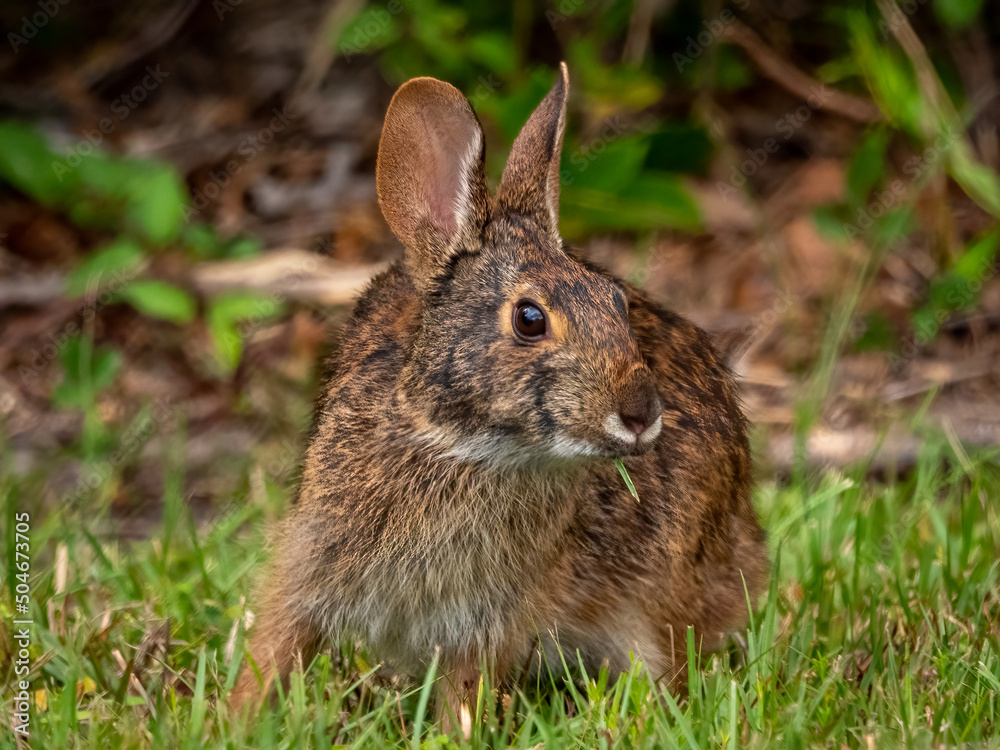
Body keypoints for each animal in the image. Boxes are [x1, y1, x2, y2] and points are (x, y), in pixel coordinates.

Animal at [230, 62, 768, 732]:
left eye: (617, 301)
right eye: (530, 319)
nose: (642, 415)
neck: (459, 444)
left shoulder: (488, 620)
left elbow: (466, 690)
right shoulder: (313, 567)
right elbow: (276, 649)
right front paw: (239, 720)